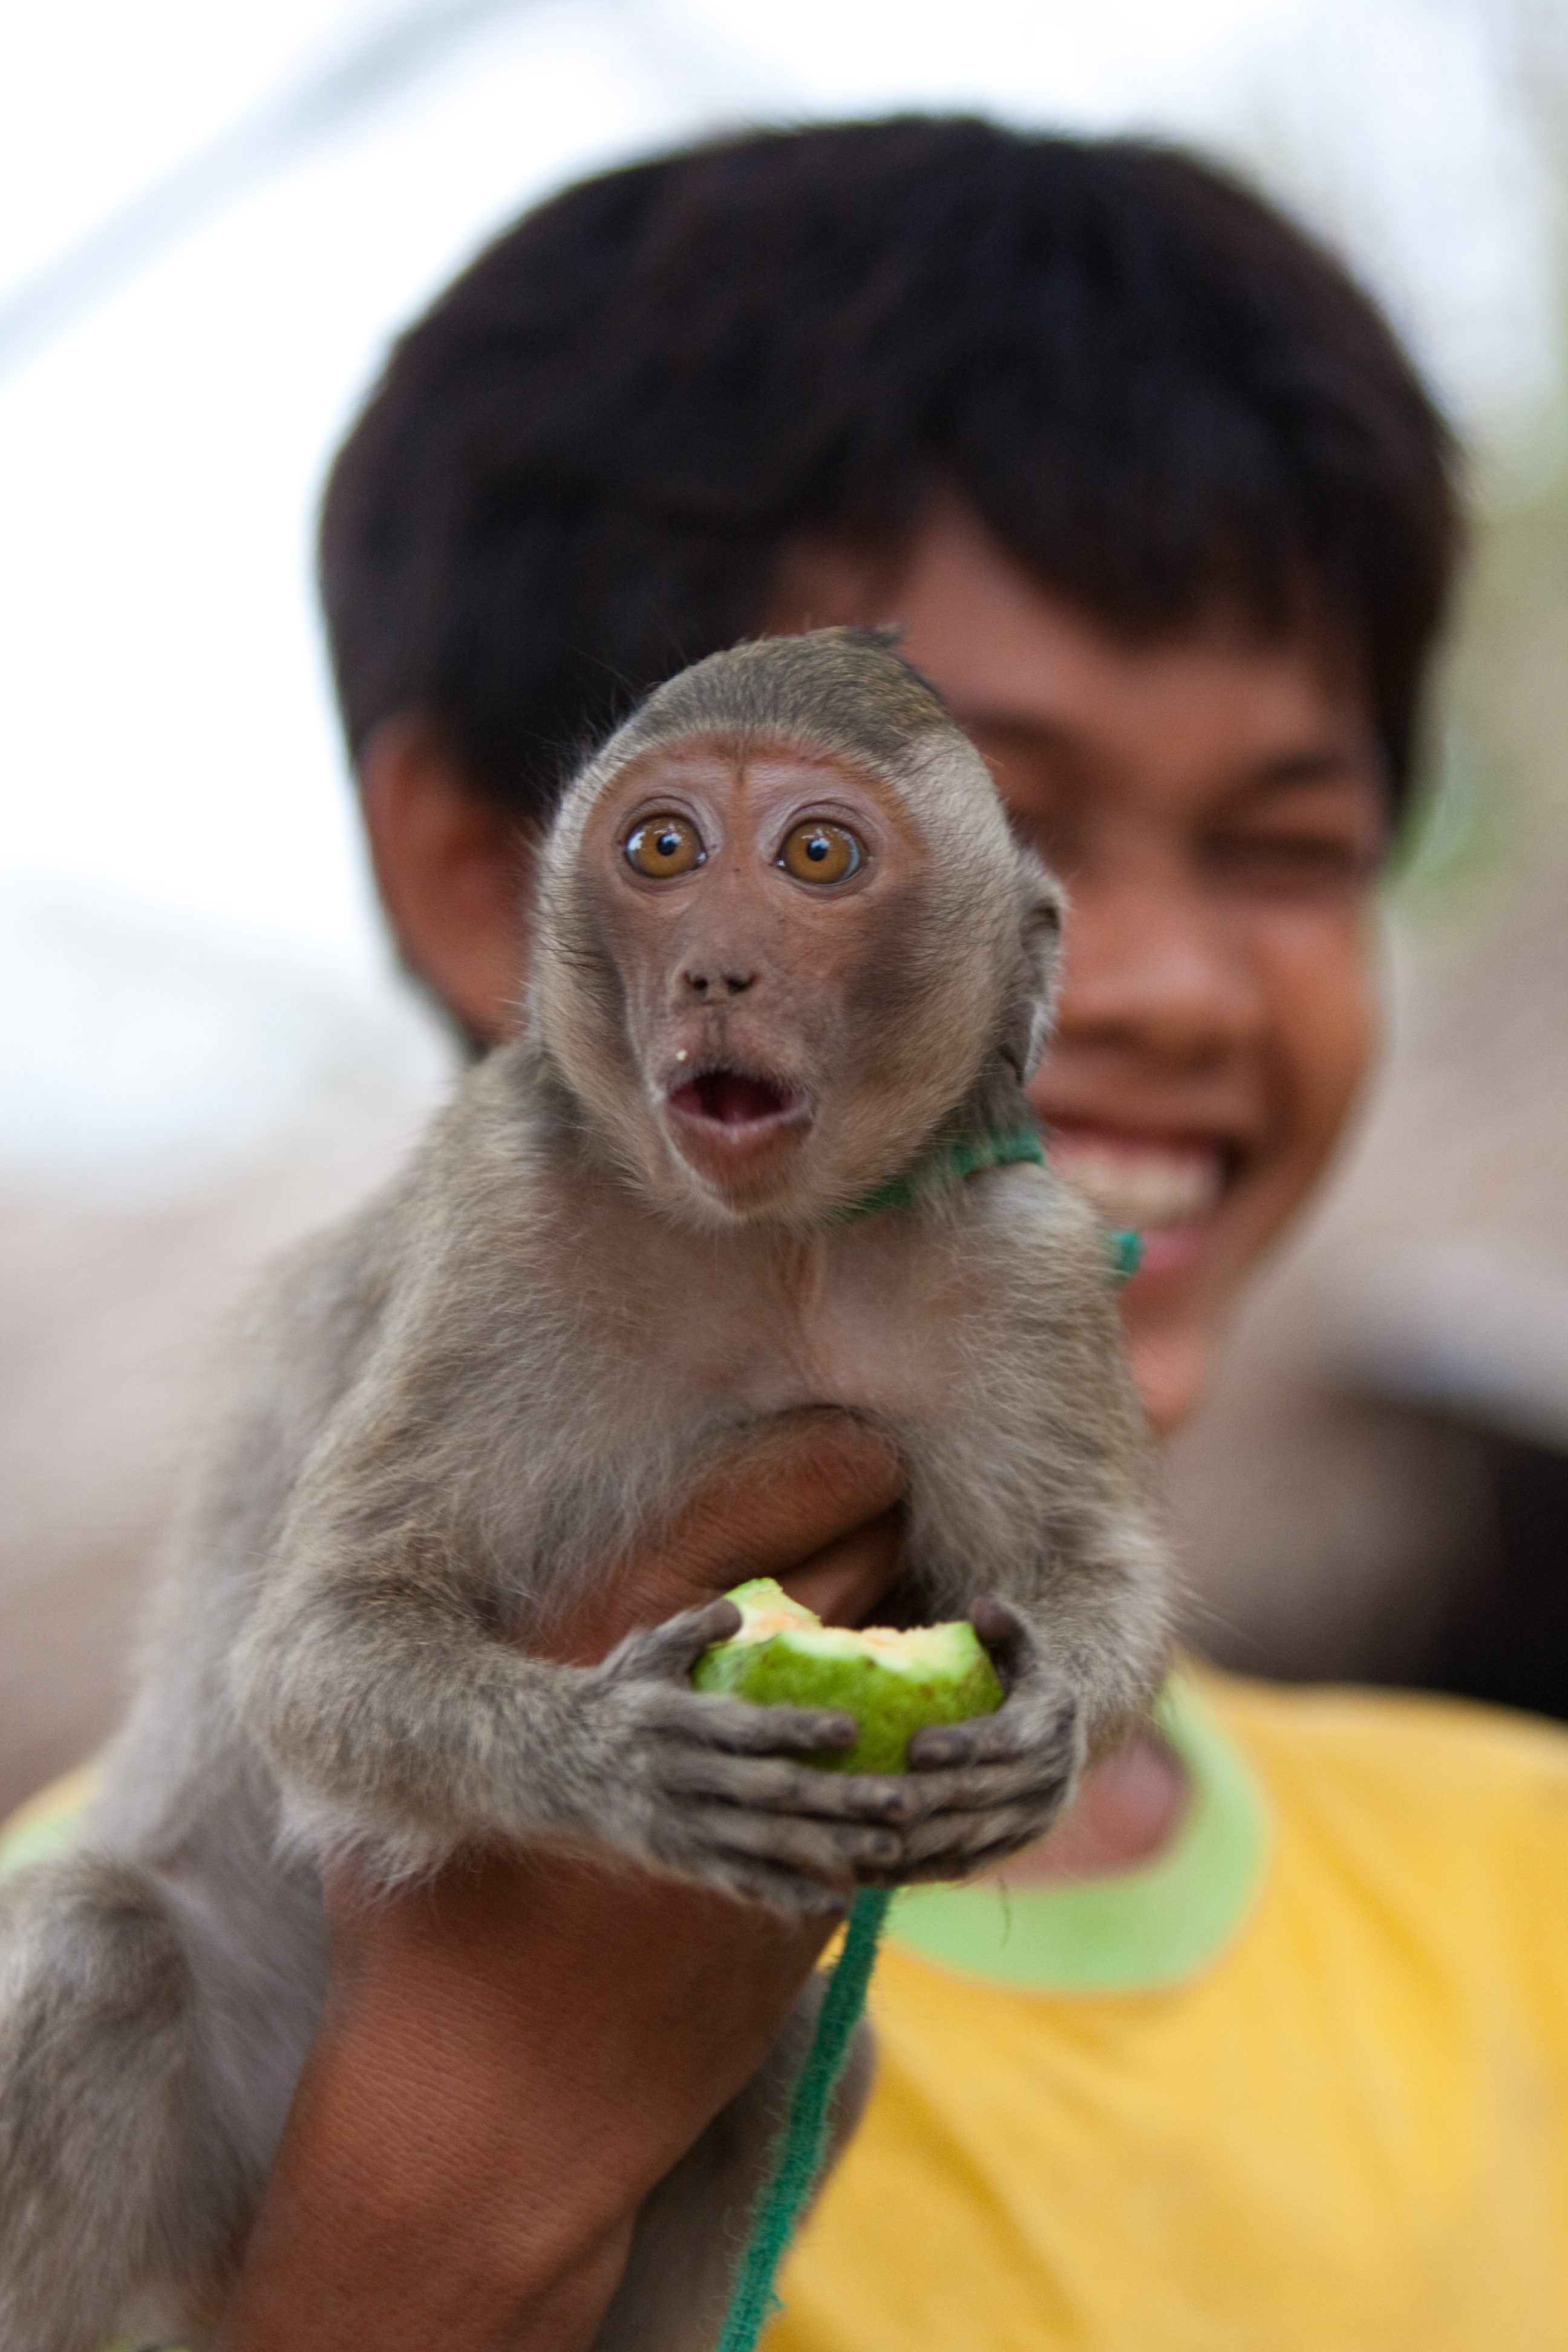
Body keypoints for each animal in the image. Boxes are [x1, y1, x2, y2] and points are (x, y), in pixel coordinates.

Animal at [0, 627, 1170, 2352]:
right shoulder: (508, 1218)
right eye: (664, 849)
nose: (716, 973)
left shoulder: (1028, 1257)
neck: (779, 1247)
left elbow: (1090, 1564)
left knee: (805, 2081)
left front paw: (1047, 1732)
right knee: (95, 1944)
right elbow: (317, 1643)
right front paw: (611, 1763)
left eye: (817, 856)